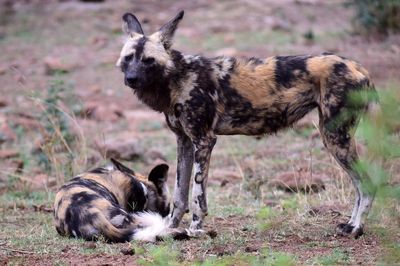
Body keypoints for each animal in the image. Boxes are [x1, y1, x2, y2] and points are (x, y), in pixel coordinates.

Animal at [54, 159, 188, 242]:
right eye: (167, 208)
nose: (167, 213)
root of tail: (92, 214)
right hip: (128, 217)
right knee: (153, 230)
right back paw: (182, 232)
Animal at [115, 11, 378, 238]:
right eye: (128, 58)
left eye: (148, 60)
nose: (131, 79)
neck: (177, 79)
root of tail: (358, 67)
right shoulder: (185, 142)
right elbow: (180, 194)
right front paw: (169, 227)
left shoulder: (204, 141)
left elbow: (198, 196)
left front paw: (196, 229)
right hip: (336, 138)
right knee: (360, 184)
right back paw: (351, 224)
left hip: (335, 137)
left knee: (367, 183)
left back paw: (356, 228)